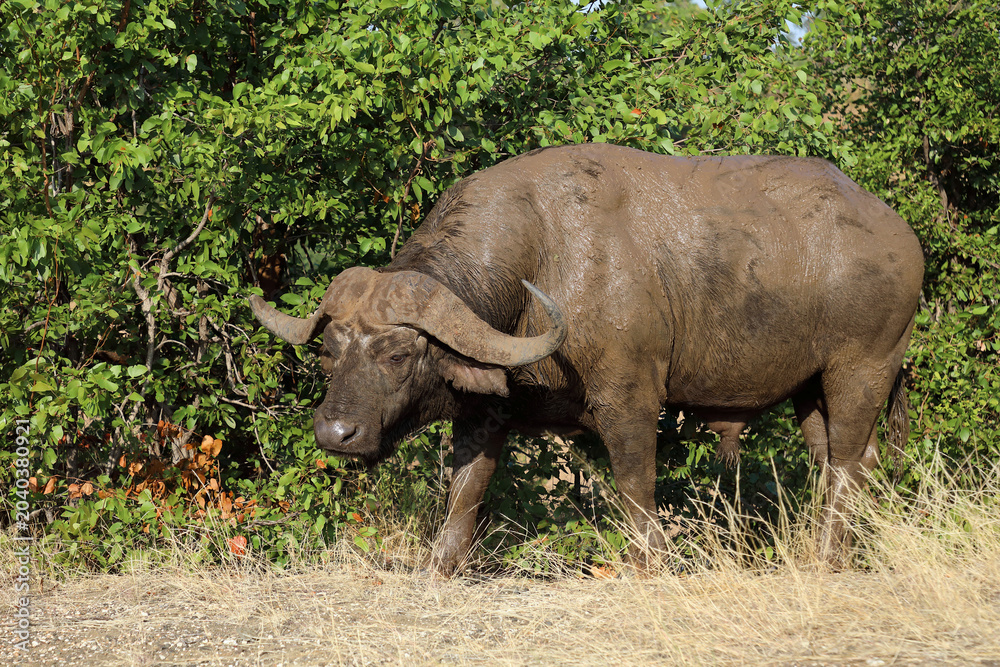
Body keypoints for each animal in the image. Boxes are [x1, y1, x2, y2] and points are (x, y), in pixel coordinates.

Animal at [250, 143, 924, 575]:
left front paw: (648, 564)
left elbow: (634, 483)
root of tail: (901, 236)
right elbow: (466, 489)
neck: (543, 255)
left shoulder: (629, 396)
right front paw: (442, 565)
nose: (336, 433)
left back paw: (829, 557)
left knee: (848, 465)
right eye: (330, 352)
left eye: (397, 352)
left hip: (861, 369)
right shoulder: (486, 412)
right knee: (845, 460)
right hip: (812, 389)